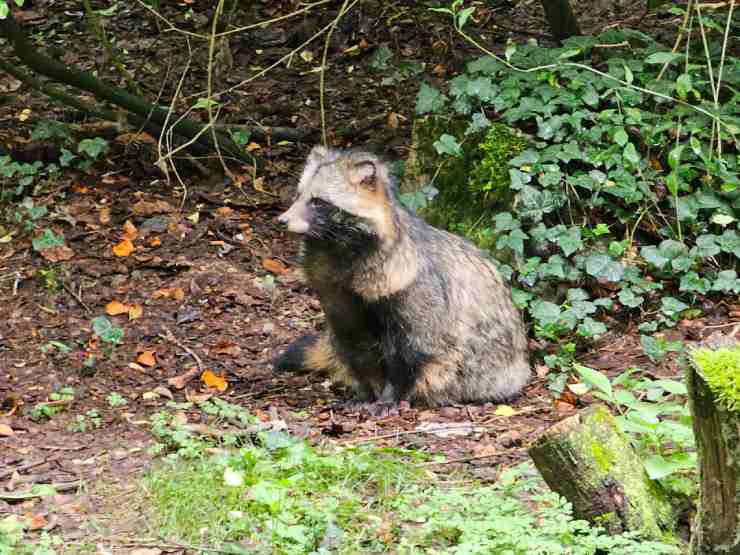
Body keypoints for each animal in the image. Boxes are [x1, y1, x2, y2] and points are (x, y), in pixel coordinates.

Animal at [274, 148, 528, 408]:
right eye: (298, 195)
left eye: (318, 201)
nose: (282, 220)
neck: (334, 246)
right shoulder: (336, 292)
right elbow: (354, 342)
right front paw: (365, 392)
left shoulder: (410, 290)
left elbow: (411, 349)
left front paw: (389, 395)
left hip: (485, 370)